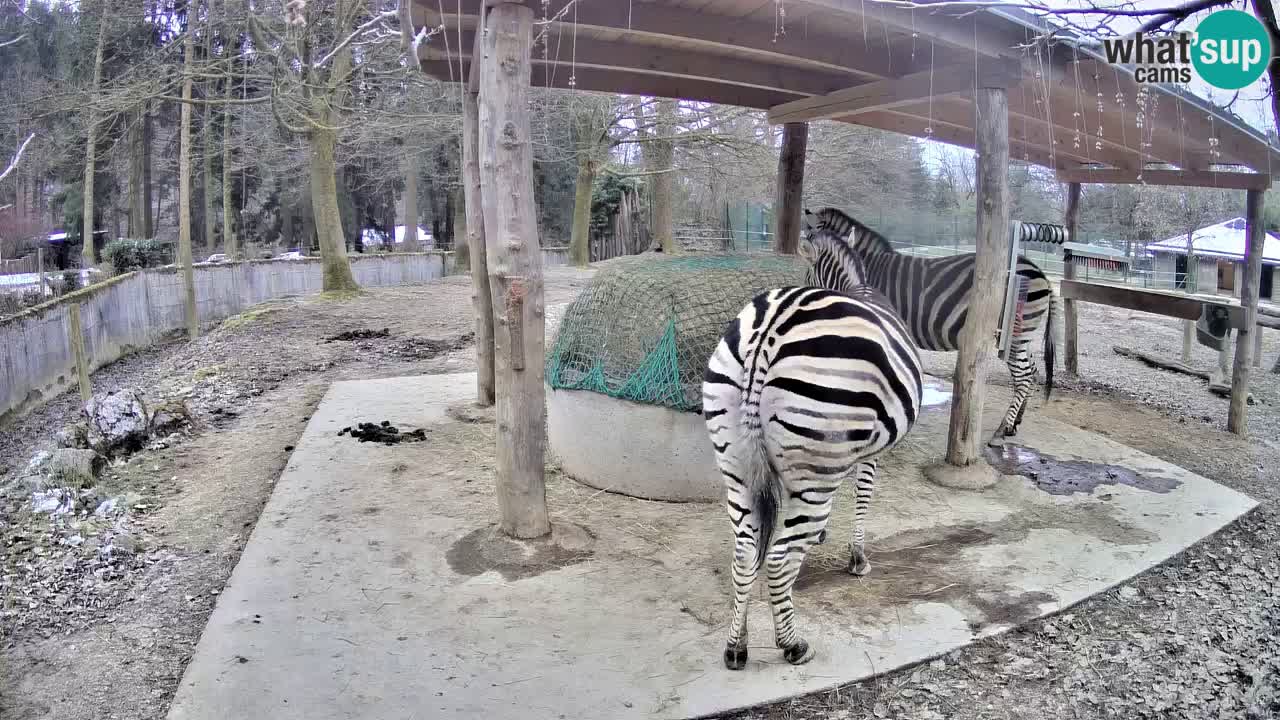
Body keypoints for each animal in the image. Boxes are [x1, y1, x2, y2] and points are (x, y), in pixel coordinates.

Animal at [701, 224, 921, 666]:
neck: (855, 284)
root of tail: (768, 329)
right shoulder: (869, 451)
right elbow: (864, 495)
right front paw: (857, 557)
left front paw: (822, 538)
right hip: (815, 463)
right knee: (779, 558)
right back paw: (792, 644)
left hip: (736, 464)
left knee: (745, 551)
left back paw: (736, 645)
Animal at [798, 206, 1059, 443]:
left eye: (808, 268)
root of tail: (1040, 271)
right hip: (1023, 336)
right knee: (1032, 371)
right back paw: (1015, 423)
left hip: (1014, 335)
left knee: (1023, 376)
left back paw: (1002, 431)